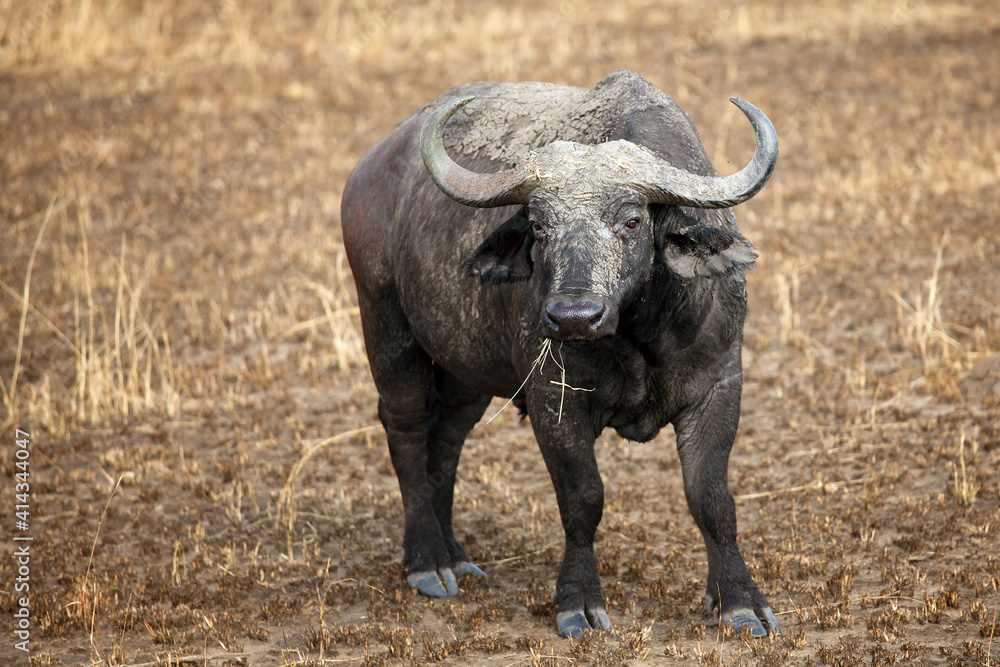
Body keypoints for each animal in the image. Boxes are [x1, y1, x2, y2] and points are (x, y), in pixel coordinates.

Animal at [344, 70, 780, 640]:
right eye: (539, 226)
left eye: (632, 221)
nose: (574, 316)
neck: (636, 337)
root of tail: (367, 172)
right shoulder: (554, 400)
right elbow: (582, 500)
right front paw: (579, 601)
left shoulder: (719, 386)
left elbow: (711, 498)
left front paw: (739, 600)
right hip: (386, 327)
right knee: (406, 429)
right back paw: (428, 561)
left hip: (467, 370)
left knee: (447, 438)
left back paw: (454, 553)